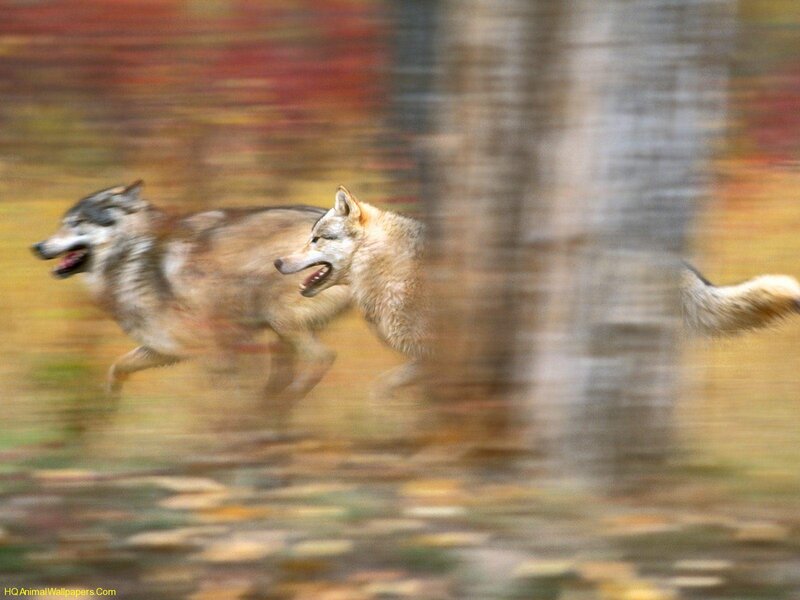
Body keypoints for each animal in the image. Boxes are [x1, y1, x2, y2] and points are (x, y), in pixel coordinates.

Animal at [32, 181, 350, 403]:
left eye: (75, 224)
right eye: (63, 223)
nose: (37, 247)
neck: (130, 255)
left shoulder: (213, 349)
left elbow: (225, 396)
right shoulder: (164, 348)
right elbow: (117, 366)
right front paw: (109, 401)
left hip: (279, 319)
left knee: (323, 357)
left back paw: (283, 402)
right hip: (278, 332)